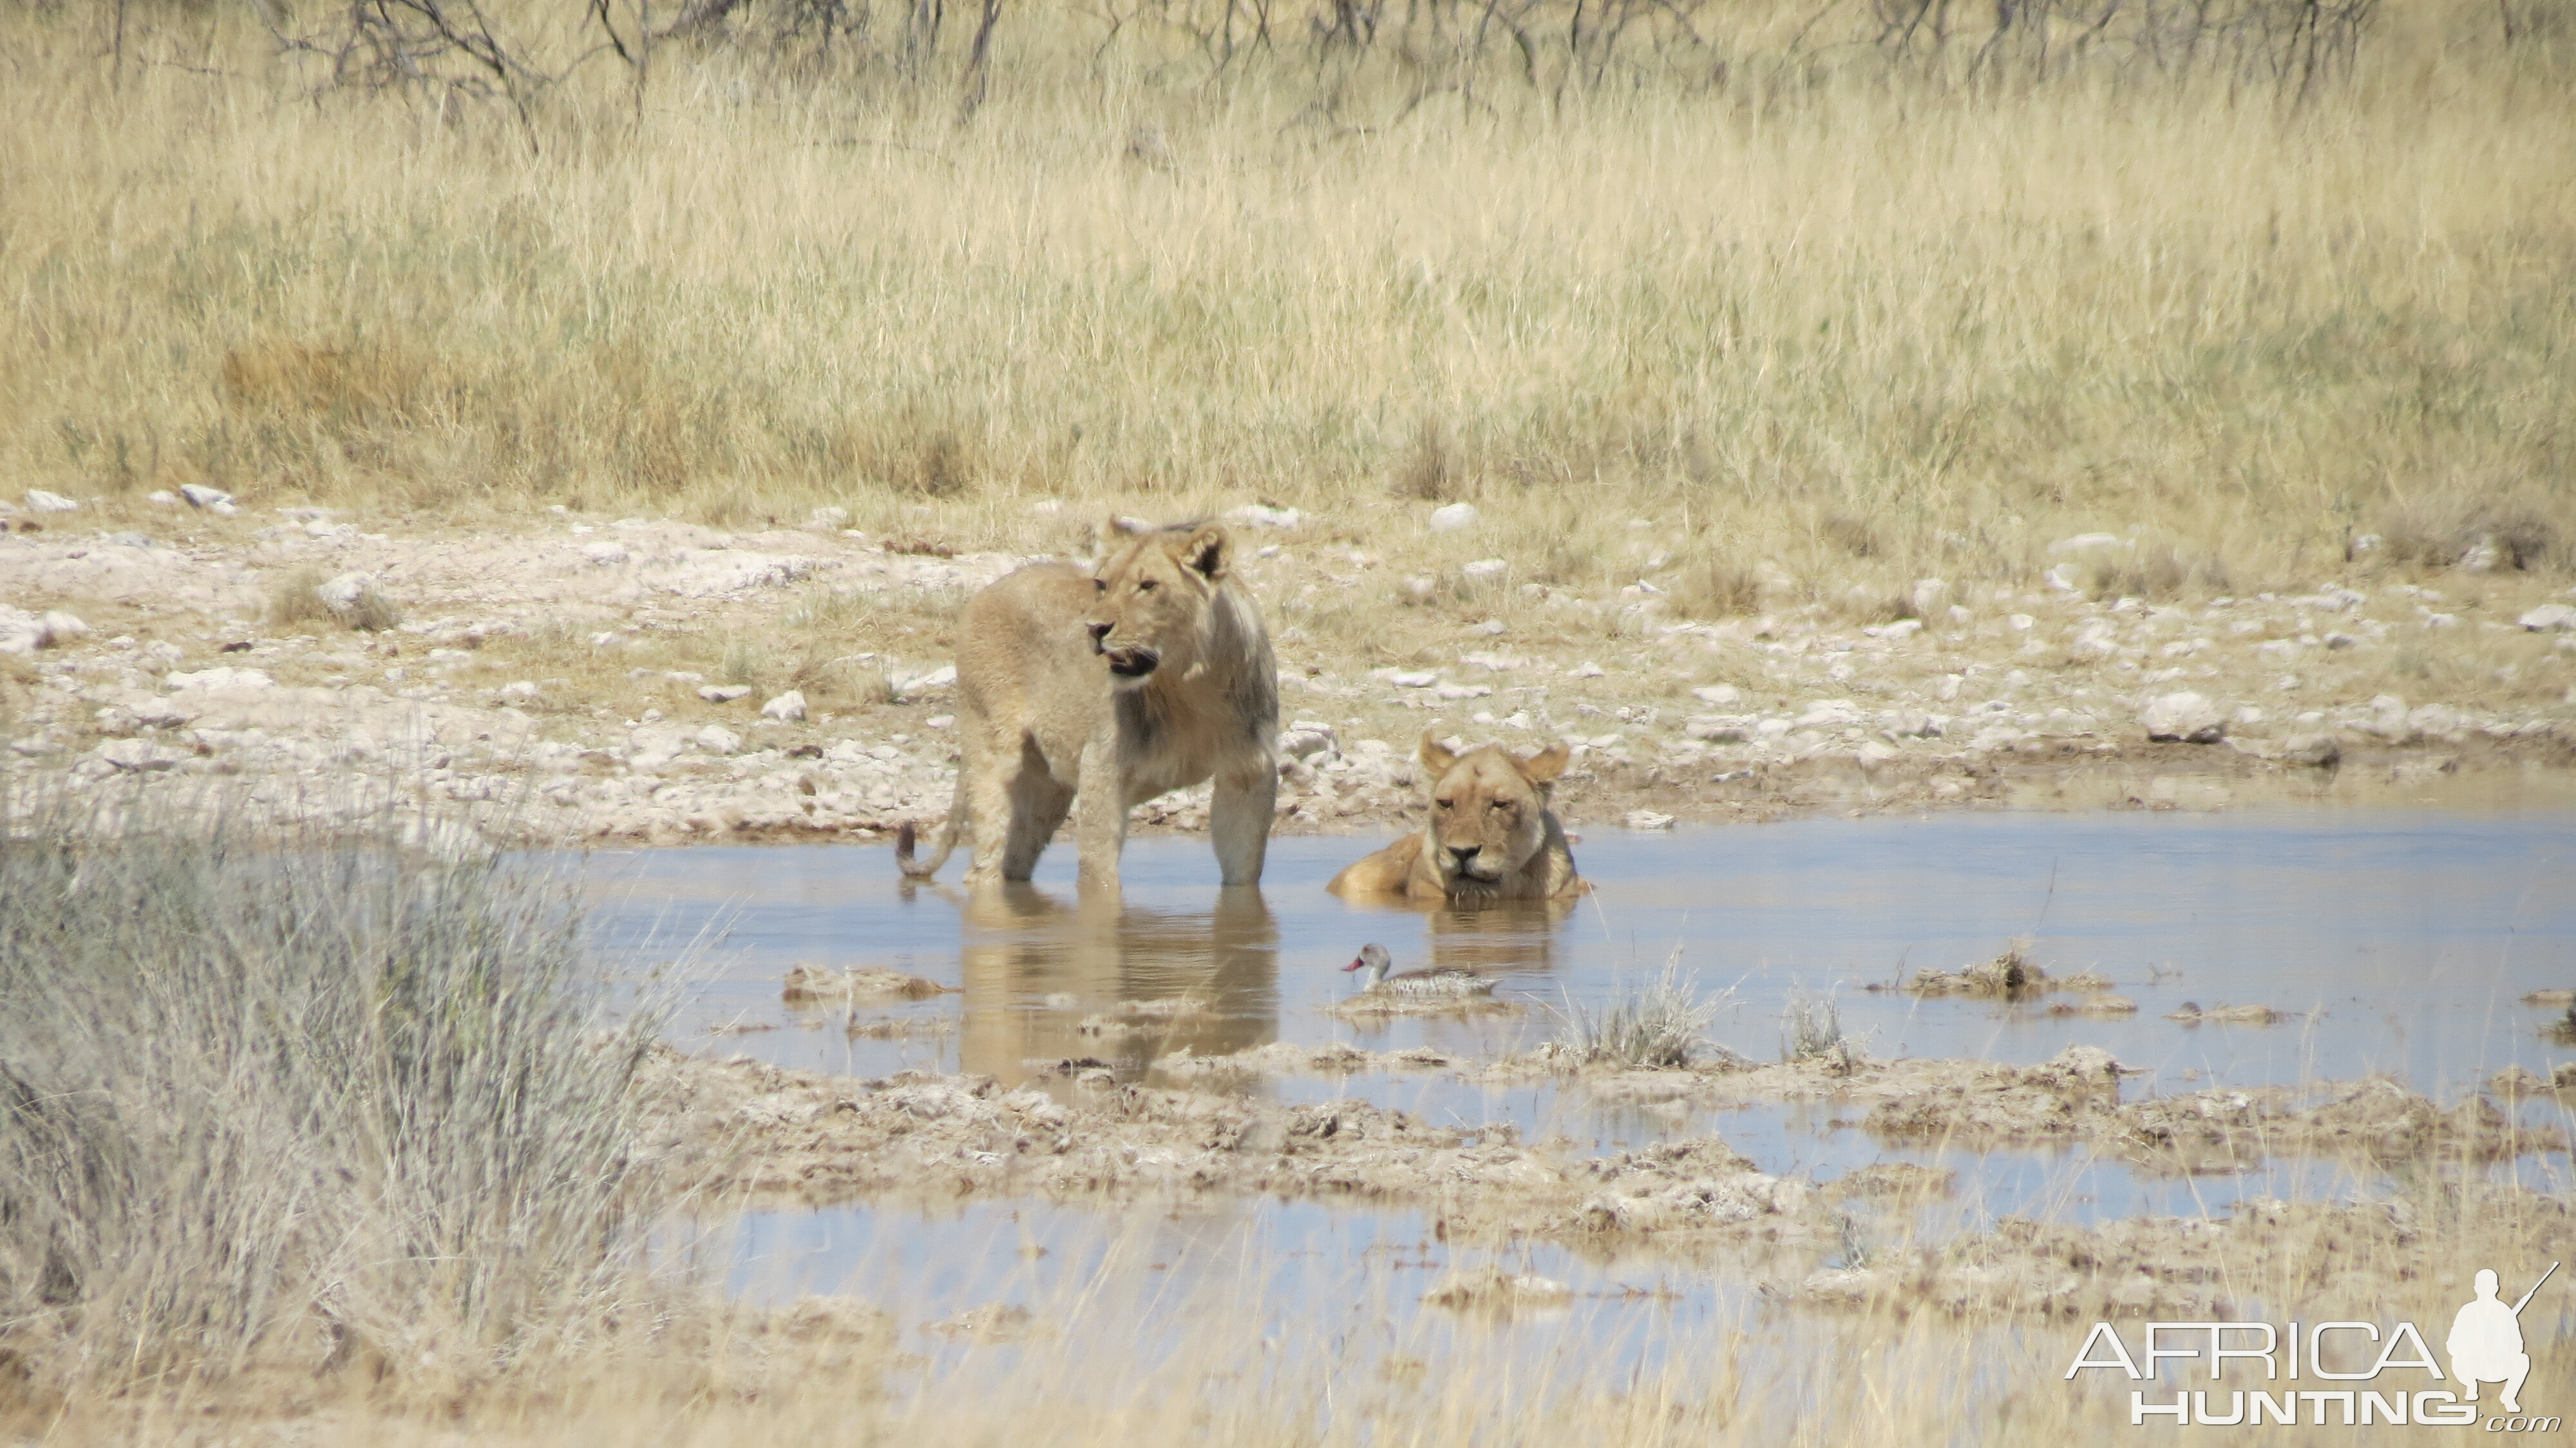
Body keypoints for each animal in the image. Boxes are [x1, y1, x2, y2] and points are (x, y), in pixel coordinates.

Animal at [896, 513, 1278, 886]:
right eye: (1103, 585)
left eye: (1148, 586)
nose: (1094, 629)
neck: (1194, 691)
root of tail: (989, 588)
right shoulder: (1102, 773)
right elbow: (1100, 876)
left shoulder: (1248, 775)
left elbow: (1243, 873)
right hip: (992, 747)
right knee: (982, 864)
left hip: (1045, 789)